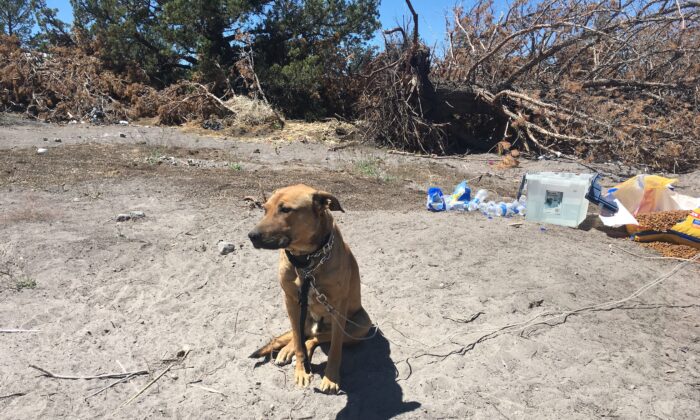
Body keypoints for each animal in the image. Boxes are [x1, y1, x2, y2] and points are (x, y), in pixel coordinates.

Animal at [249, 184, 374, 394]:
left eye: (285, 209)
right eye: (264, 209)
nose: (251, 236)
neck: (306, 261)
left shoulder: (338, 306)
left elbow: (335, 348)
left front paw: (331, 378)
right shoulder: (290, 300)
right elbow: (298, 341)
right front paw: (301, 370)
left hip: (361, 325)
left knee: (316, 338)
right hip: (301, 315)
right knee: (300, 335)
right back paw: (287, 350)